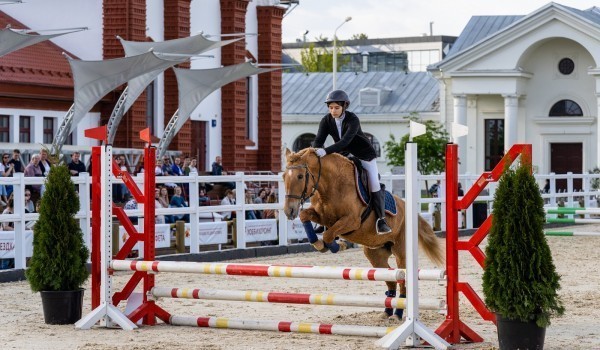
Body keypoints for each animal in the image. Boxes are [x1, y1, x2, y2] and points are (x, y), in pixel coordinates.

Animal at [282, 148, 446, 320]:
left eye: (300, 176)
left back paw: (398, 314)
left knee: (402, 281)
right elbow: (305, 216)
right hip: (375, 254)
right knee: (391, 280)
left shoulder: (352, 221)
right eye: (283, 176)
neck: (331, 186)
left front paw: (337, 245)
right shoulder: (323, 217)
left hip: (401, 253)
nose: (289, 211)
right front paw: (321, 243)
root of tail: (407, 206)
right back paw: (387, 312)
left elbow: (328, 236)